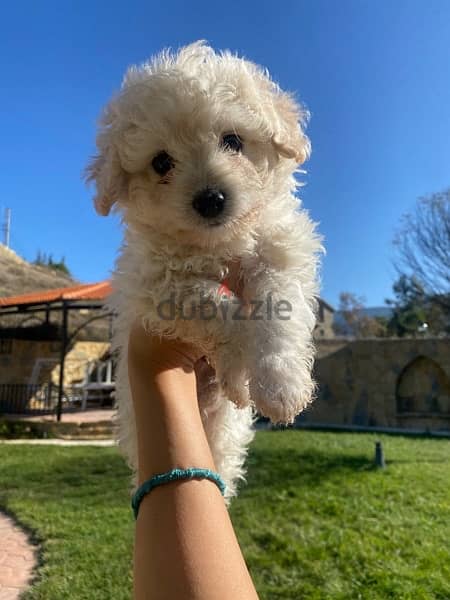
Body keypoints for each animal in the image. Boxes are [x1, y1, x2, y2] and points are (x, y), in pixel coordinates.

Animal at [85, 42, 324, 500]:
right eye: (161, 163)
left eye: (233, 140)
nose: (210, 199)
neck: (218, 244)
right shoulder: (156, 288)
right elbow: (219, 308)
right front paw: (238, 369)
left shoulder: (282, 250)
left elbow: (276, 309)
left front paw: (280, 386)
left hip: (225, 439)